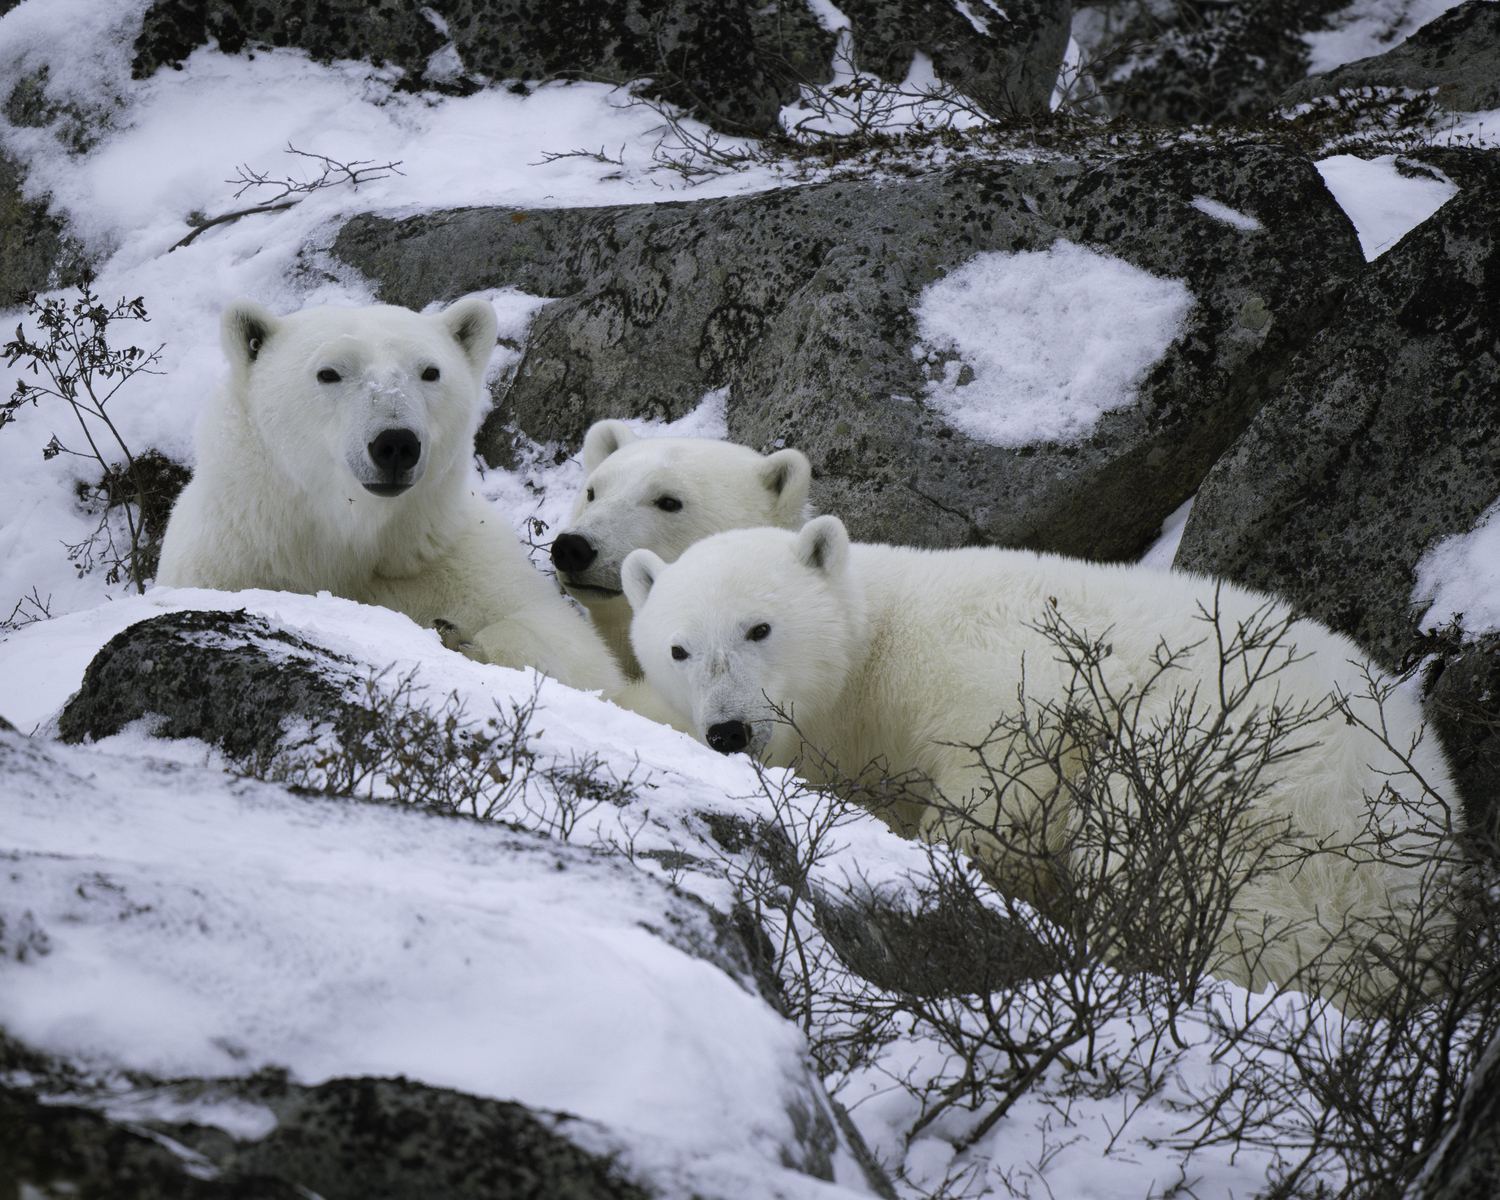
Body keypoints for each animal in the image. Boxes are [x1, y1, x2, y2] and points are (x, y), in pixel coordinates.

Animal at [162, 297, 627, 693]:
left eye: (430, 371)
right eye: (329, 372)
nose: (396, 444)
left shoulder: (447, 552)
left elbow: (579, 653)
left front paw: (463, 639)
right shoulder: (229, 561)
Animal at [627, 519, 1458, 996]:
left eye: (759, 627)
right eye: (679, 649)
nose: (728, 731)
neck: (879, 661)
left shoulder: (1003, 682)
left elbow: (1002, 792)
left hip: (1258, 791)